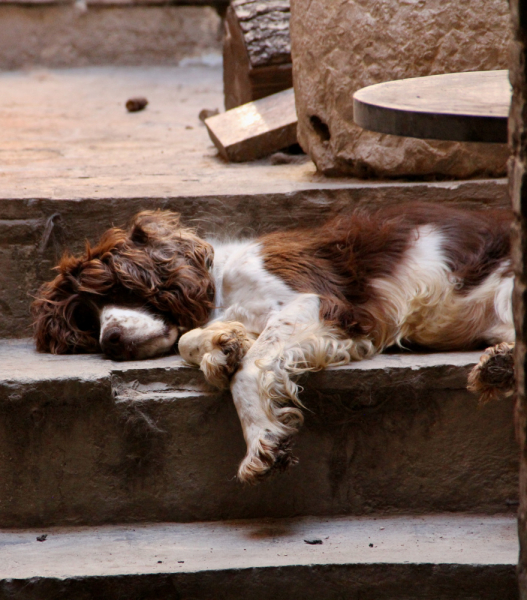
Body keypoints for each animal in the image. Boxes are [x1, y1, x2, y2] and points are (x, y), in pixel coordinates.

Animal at [32, 205, 516, 482]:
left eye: (112, 288)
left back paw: (501, 366)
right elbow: (192, 338)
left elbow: (250, 372)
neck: (222, 286)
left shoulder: (316, 301)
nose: (110, 341)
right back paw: (498, 367)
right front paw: (221, 348)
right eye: (85, 319)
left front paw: (262, 441)